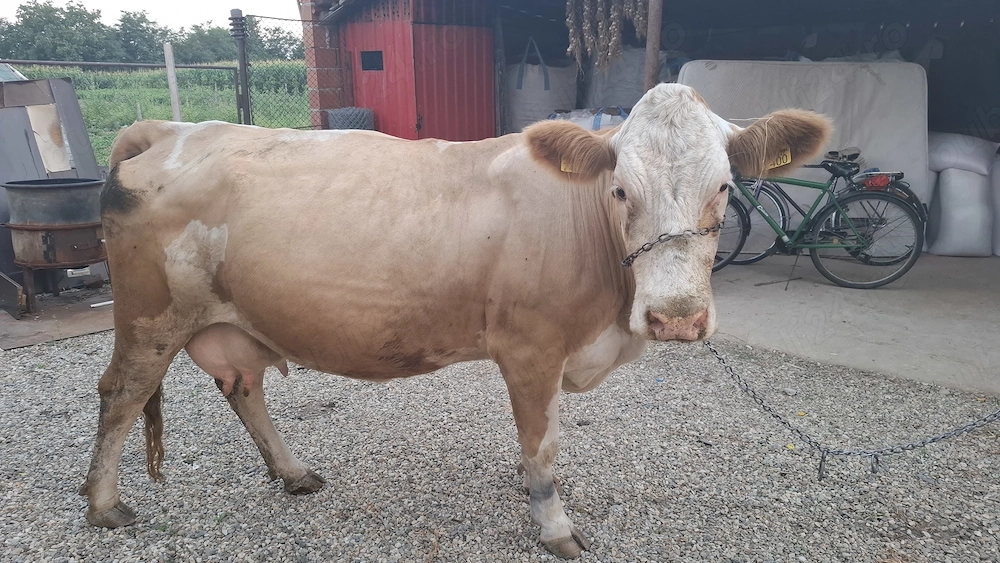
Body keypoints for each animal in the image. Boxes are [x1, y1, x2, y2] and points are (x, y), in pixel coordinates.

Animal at [80, 83, 830, 559]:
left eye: (725, 186)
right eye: (620, 189)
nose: (675, 317)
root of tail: (171, 130)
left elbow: (536, 441)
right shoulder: (532, 347)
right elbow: (544, 442)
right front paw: (553, 522)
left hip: (234, 317)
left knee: (243, 389)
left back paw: (293, 472)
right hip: (150, 318)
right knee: (121, 396)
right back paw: (103, 504)